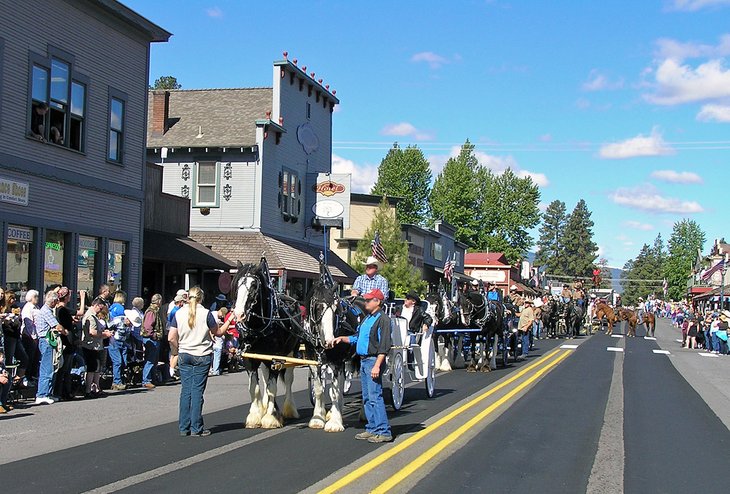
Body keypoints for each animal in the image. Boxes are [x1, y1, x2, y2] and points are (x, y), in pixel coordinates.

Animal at [232, 258, 302, 428]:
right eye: (237, 284)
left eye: (253, 286)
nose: (238, 314)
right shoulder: (249, 358)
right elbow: (255, 387)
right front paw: (255, 416)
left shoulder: (276, 358)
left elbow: (272, 387)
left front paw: (271, 417)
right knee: (265, 376)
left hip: (292, 352)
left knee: (288, 379)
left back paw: (289, 410)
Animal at [302, 260, 362, 430]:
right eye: (318, 307)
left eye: (336, 309)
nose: (329, 341)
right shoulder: (313, 361)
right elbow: (319, 389)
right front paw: (318, 418)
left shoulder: (337, 362)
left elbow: (334, 392)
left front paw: (335, 422)